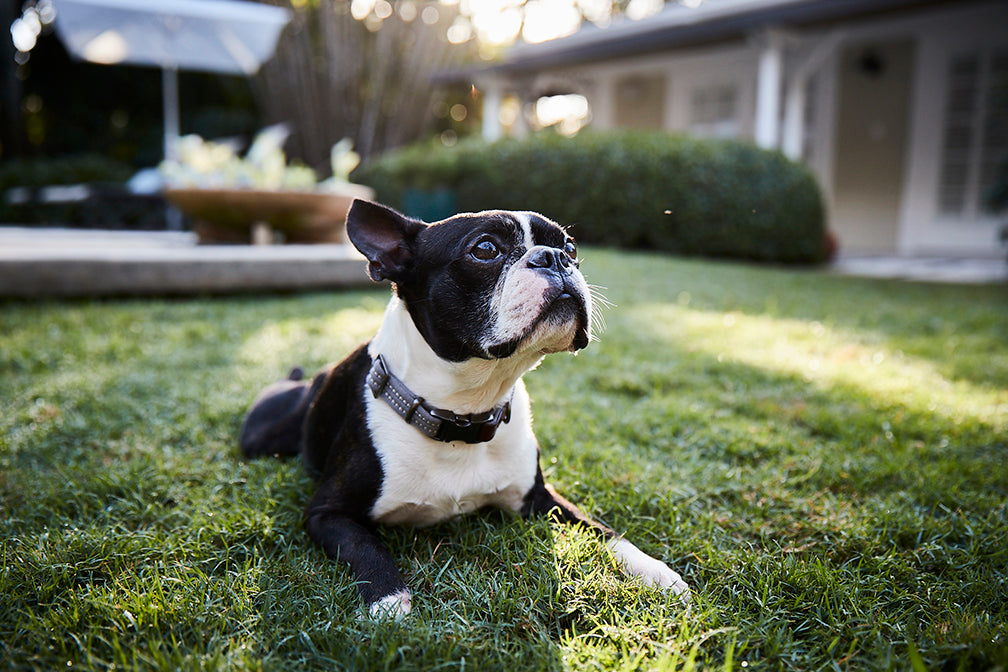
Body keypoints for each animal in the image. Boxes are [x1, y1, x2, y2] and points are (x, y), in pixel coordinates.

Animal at [239, 199, 689, 620]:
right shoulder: (326, 512)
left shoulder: (539, 498)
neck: (463, 414)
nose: (553, 257)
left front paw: (656, 571)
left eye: (571, 247)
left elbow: (602, 529)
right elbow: (364, 544)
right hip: (264, 437)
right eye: (485, 249)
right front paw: (389, 602)